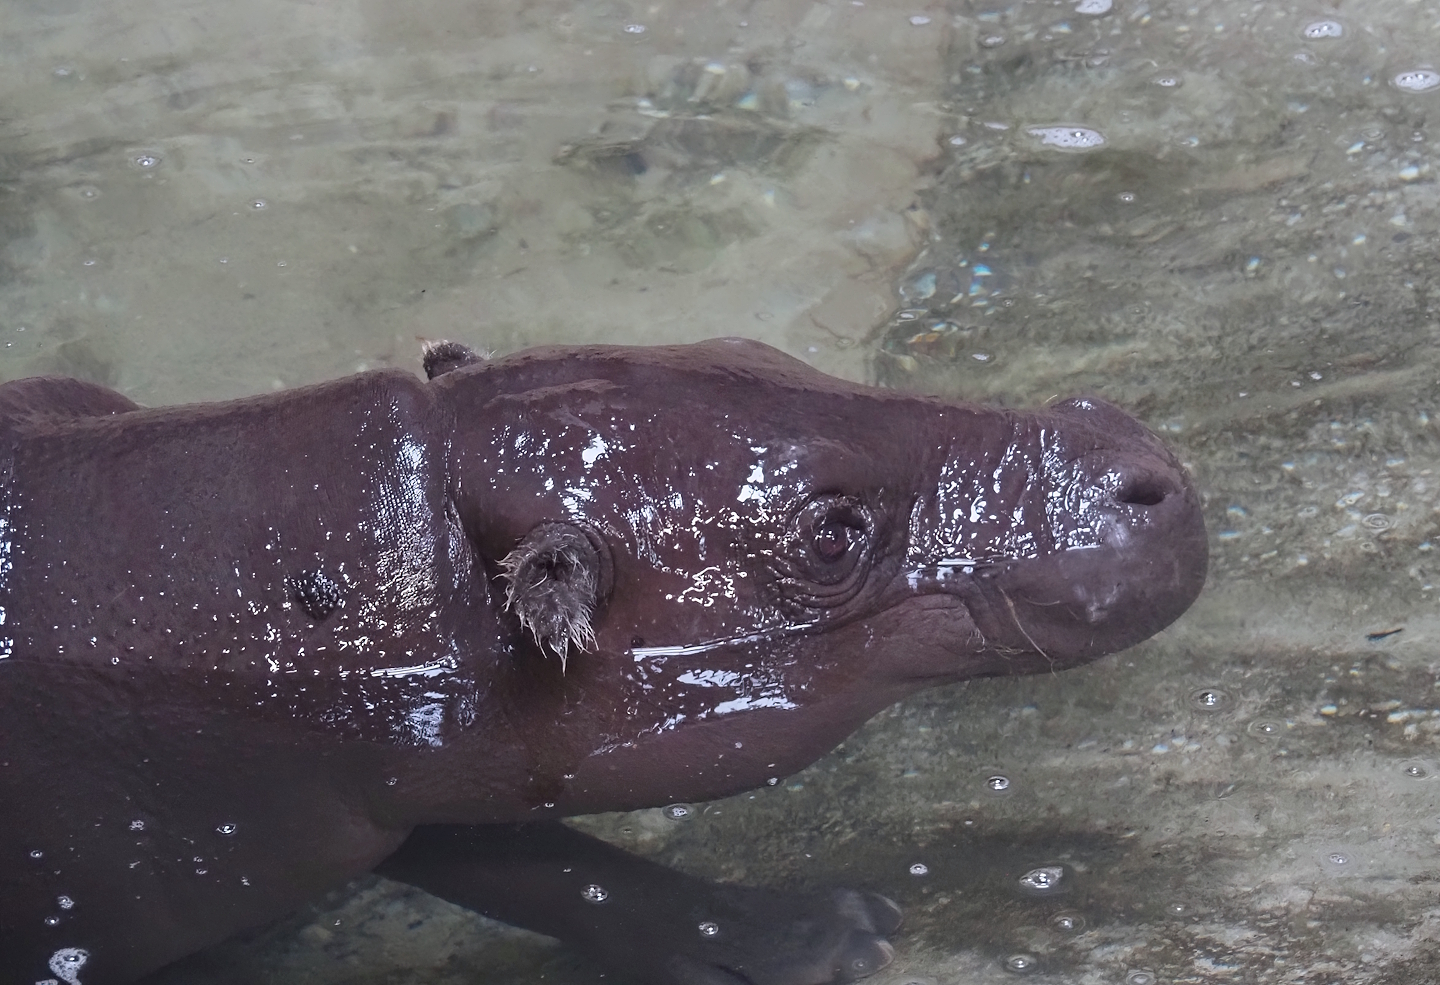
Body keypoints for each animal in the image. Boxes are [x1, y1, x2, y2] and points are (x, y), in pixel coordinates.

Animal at [0, 338, 1207, 985]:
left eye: (766, 351)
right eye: (830, 532)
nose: (1146, 465)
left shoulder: (366, 780)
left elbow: (525, 857)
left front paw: (810, 935)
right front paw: (825, 941)